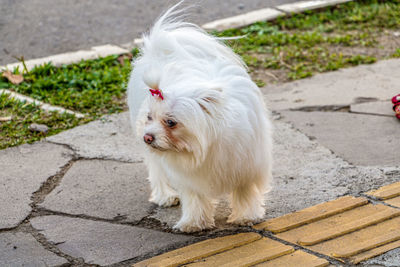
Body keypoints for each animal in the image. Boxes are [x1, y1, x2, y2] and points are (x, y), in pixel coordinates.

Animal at [127, 2, 272, 232]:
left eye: (171, 122)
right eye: (149, 117)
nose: (147, 137)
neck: (204, 147)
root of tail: (161, 48)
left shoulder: (245, 165)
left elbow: (244, 192)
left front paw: (246, 216)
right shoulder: (189, 178)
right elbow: (194, 198)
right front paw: (193, 223)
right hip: (154, 155)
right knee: (157, 169)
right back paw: (166, 196)